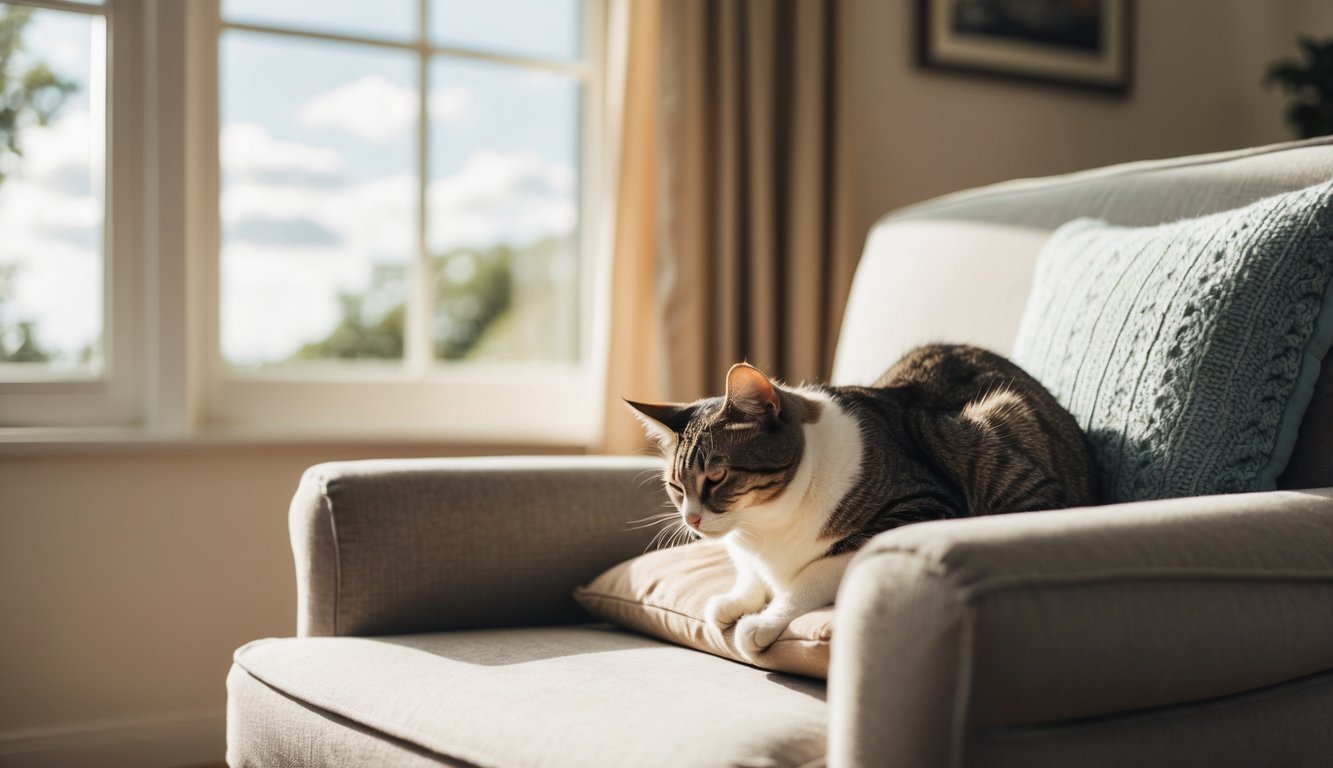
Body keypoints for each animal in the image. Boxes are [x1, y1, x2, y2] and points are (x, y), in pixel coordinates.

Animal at [623, 341, 1093, 661]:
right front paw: (736, 599)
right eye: (676, 487)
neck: (763, 525)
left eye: (717, 477)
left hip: (995, 432)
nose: (692, 521)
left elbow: (812, 574)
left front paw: (763, 620)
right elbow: (750, 572)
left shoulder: (924, 506)